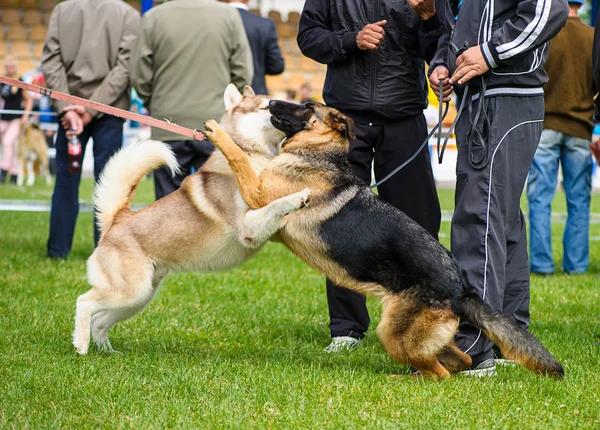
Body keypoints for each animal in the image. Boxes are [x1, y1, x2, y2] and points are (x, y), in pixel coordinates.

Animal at [72, 85, 312, 356]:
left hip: (139, 297)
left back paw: (108, 352)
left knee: (100, 321)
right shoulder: (247, 228)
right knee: (84, 303)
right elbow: (276, 204)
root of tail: (117, 219)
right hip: (130, 292)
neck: (251, 157)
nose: (301, 108)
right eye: (266, 106)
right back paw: (81, 345)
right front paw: (298, 197)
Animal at [204, 101, 564, 380]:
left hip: (390, 333)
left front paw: (219, 134)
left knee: (441, 373)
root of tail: (461, 287)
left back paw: (403, 378)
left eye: (307, 106)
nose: (270, 102)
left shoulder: (259, 194)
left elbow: (239, 159)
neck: (320, 154)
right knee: (457, 361)